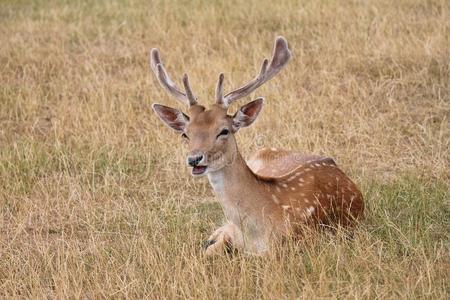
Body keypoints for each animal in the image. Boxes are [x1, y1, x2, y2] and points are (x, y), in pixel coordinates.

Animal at [149, 35, 364, 255]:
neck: (254, 232)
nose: (194, 159)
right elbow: (208, 251)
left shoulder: (295, 244)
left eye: (224, 131)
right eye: (185, 134)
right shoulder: (231, 234)